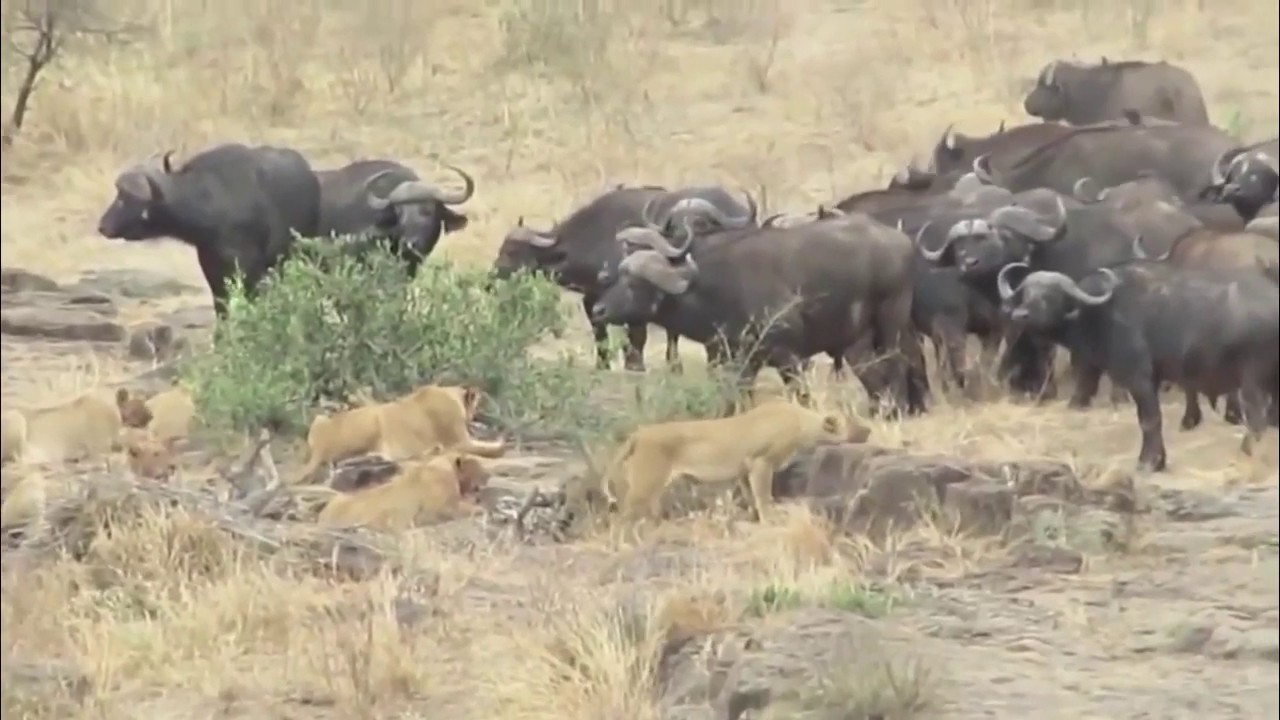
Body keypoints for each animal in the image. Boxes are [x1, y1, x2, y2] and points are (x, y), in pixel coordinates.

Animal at [294, 384, 505, 484]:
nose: (475, 418)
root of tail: (321, 446)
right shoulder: (459, 440)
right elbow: (486, 447)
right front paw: (500, 443)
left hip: (320, 419)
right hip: (373, 416)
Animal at [599, 398, 872, 523]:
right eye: (852, 423)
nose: (869, 429)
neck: (801, 422)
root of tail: (639, 433)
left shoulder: (744, 469)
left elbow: (751, 496)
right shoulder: (761, 462)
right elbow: (763, 495)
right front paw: (769, 519)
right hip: (646, 483)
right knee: (621, 517)